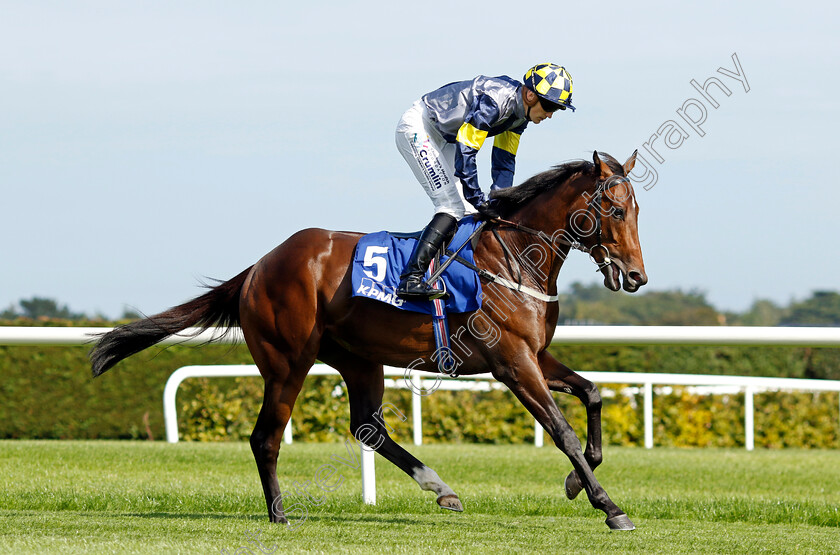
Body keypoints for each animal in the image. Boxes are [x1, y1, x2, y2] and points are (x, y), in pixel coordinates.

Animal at [88, 150, 648, 532]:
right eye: (616, 211)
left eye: (638, 209)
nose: (636, 276)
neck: (513, 257)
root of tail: (260, 265)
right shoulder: (511, 362)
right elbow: (562, 431)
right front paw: (609, 506)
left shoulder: (535, 354)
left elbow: (593, 393)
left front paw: (578, 482)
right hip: (287, 362)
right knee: (266, 437)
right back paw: (279, 514)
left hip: (359, 360)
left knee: (367, 427)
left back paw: (440, 488)